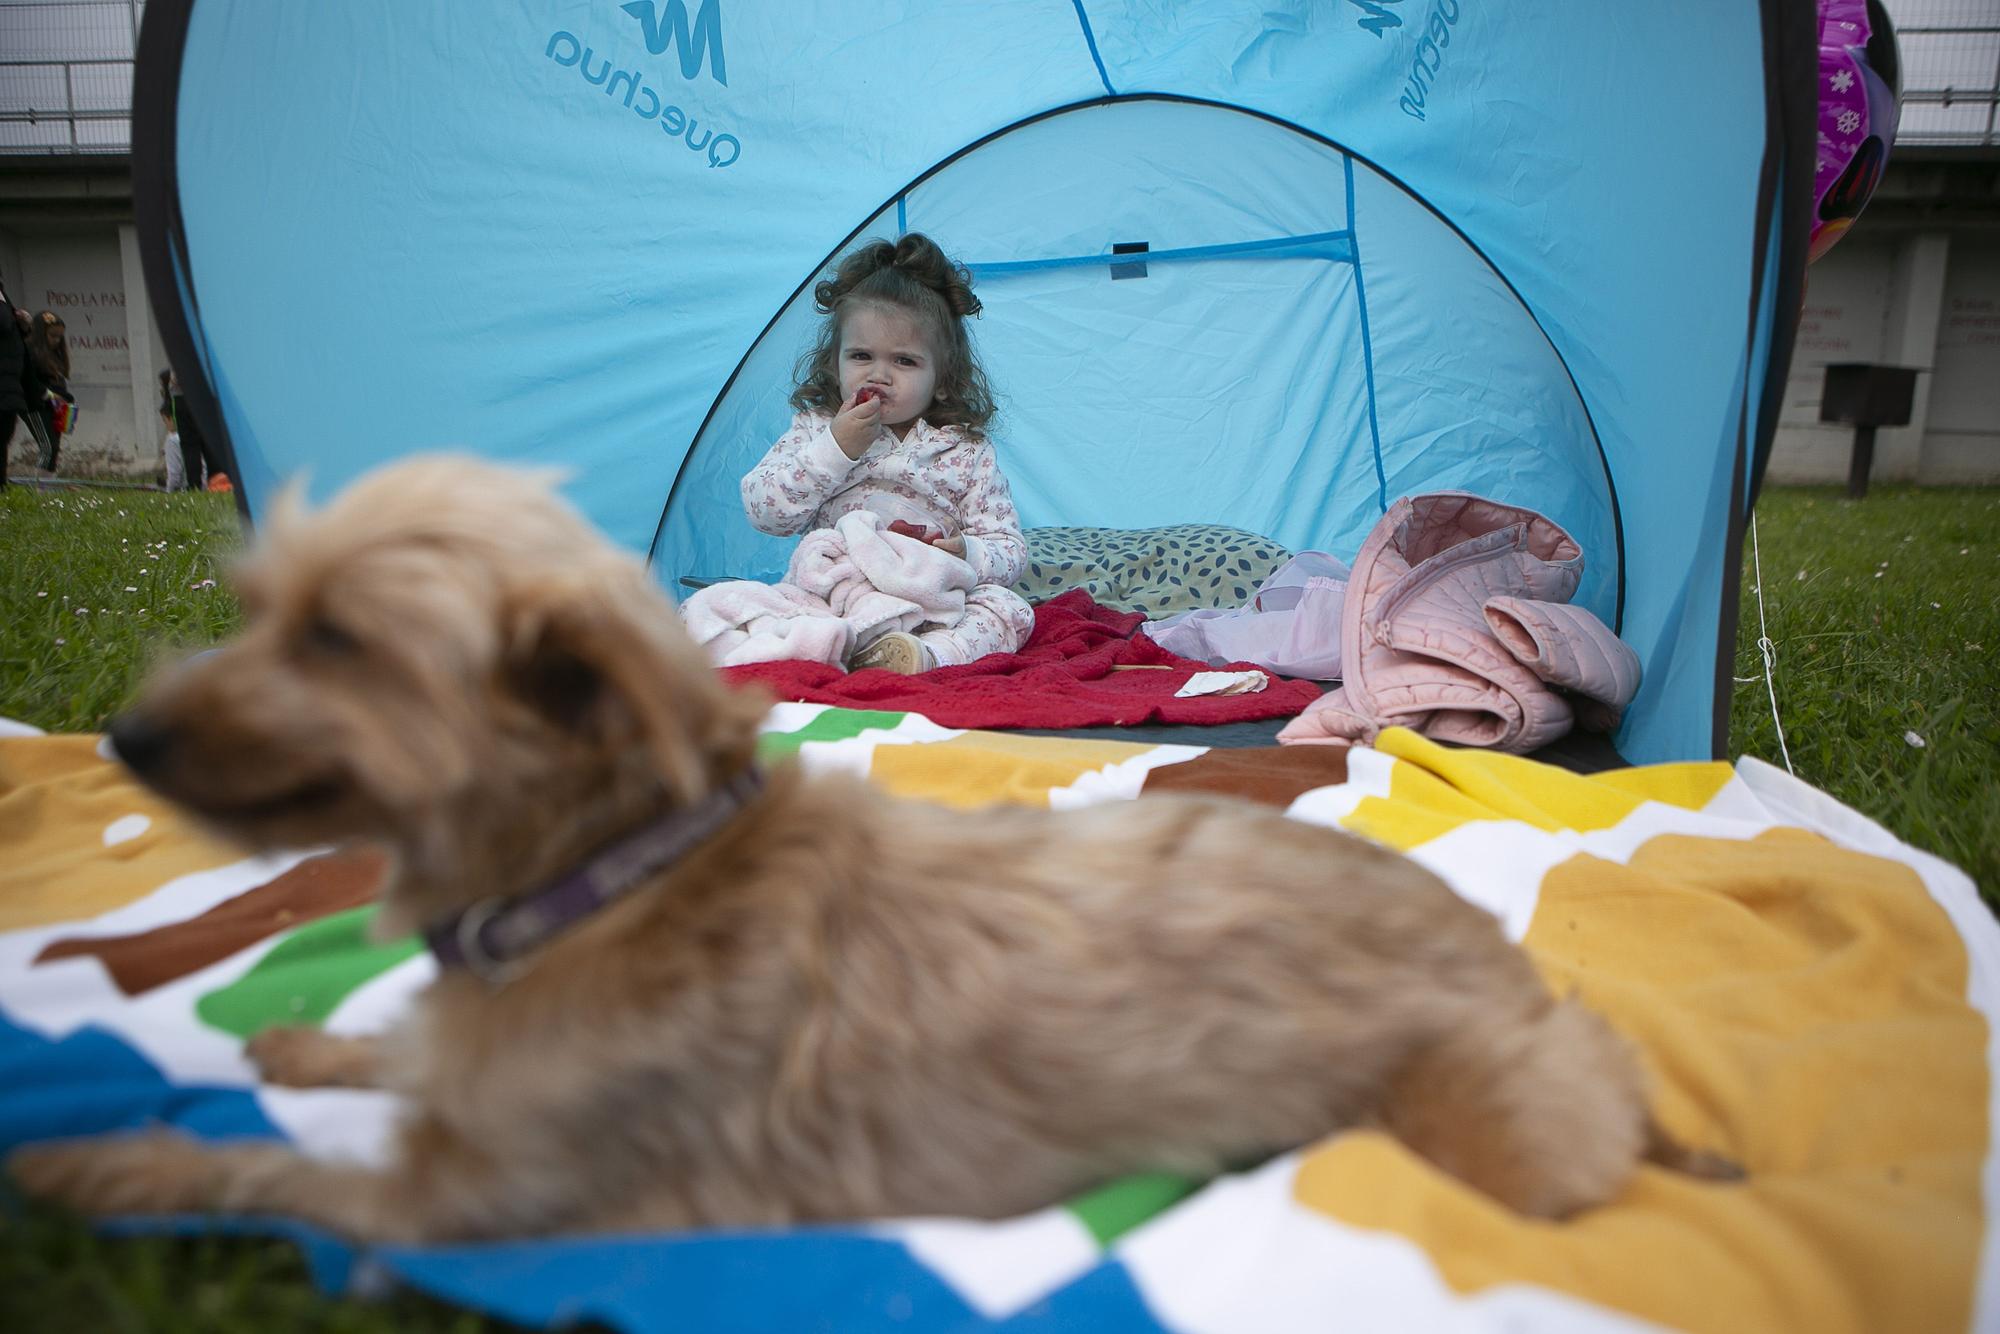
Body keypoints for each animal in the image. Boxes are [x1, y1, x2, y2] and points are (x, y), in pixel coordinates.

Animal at [7, 456, 1728, 1240]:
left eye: (341, 642)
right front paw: (310, 1043)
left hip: (1504, 1123)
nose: (126, 740)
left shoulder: (477, 1204)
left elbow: (258, 1171)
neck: (604, 886)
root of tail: (1479, 935)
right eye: (257, 611)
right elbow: (394, 1046)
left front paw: (112, 1158)